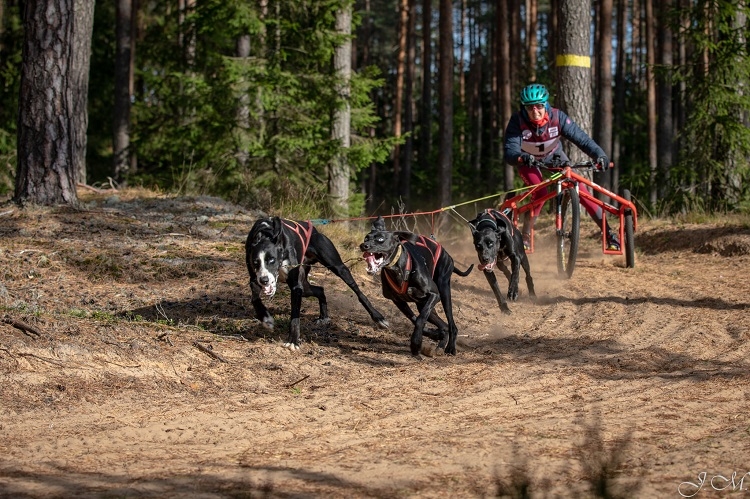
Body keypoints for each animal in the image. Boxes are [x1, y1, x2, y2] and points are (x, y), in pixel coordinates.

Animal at [248, 218, 390, 352]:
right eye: (255, 262)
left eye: (272, 260)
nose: (264, 280)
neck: (266, 234)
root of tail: (315, 230)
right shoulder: (254, 279)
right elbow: (254, 299)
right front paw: (266, 318)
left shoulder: (296, 287)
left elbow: (295, 317)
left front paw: (293, 341)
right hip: (305, 286)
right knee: (320, 290)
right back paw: (324, 317)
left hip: (338, 267)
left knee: (358, 292)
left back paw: (378, 318)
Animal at [360, 217, 476, 358]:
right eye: (366, 238)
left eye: (381, 239)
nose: (364, 245)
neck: (399, 270)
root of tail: (446, 253)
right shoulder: (398, 301)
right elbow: (414, 319)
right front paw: (434, 334)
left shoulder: (434, 295)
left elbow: (420, 319)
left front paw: (415, 344)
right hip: (423, 304)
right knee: (444, 325)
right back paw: (440, 343)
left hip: (443, 292)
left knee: (452, 325)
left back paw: (450, 347)